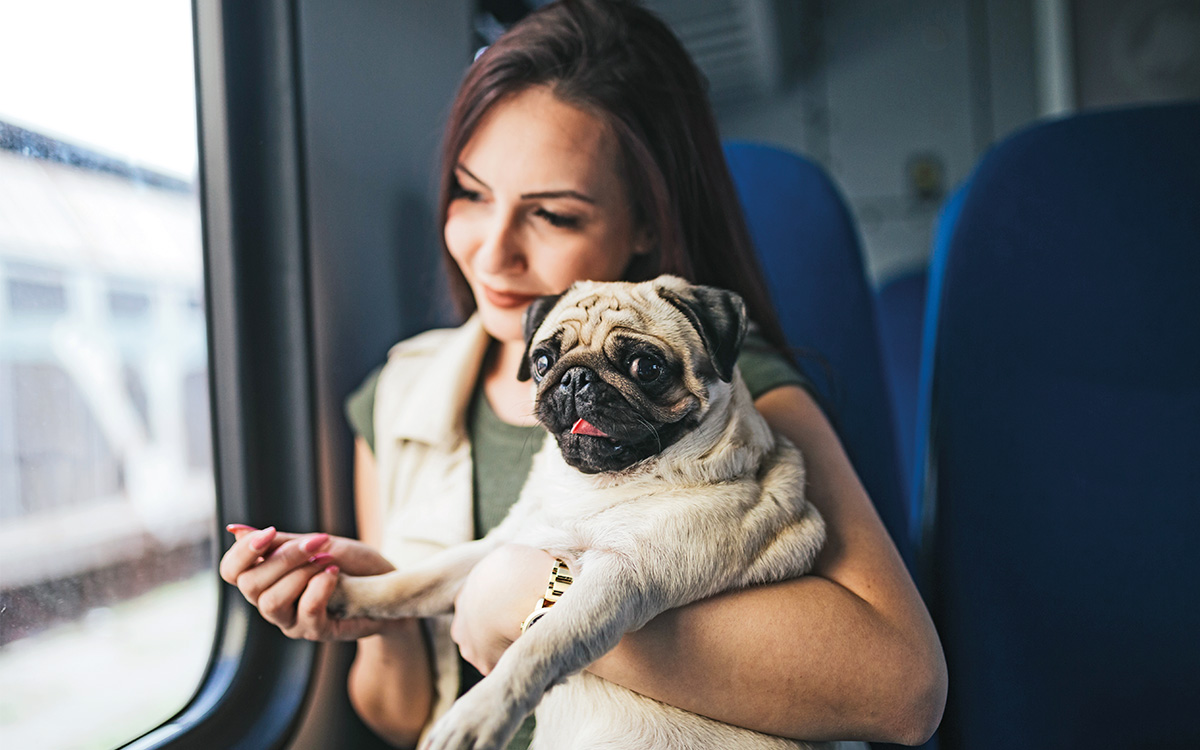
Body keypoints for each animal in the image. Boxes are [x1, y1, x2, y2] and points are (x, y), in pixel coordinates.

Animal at [333, 276, 830, 748]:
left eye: (646, 367)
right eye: (542, 362)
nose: (575, 378)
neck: (595, 486)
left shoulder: (621, 578)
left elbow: (539, 646)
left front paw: (480, 714)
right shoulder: (505, 542)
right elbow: (417, 579)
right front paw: (346, 592)